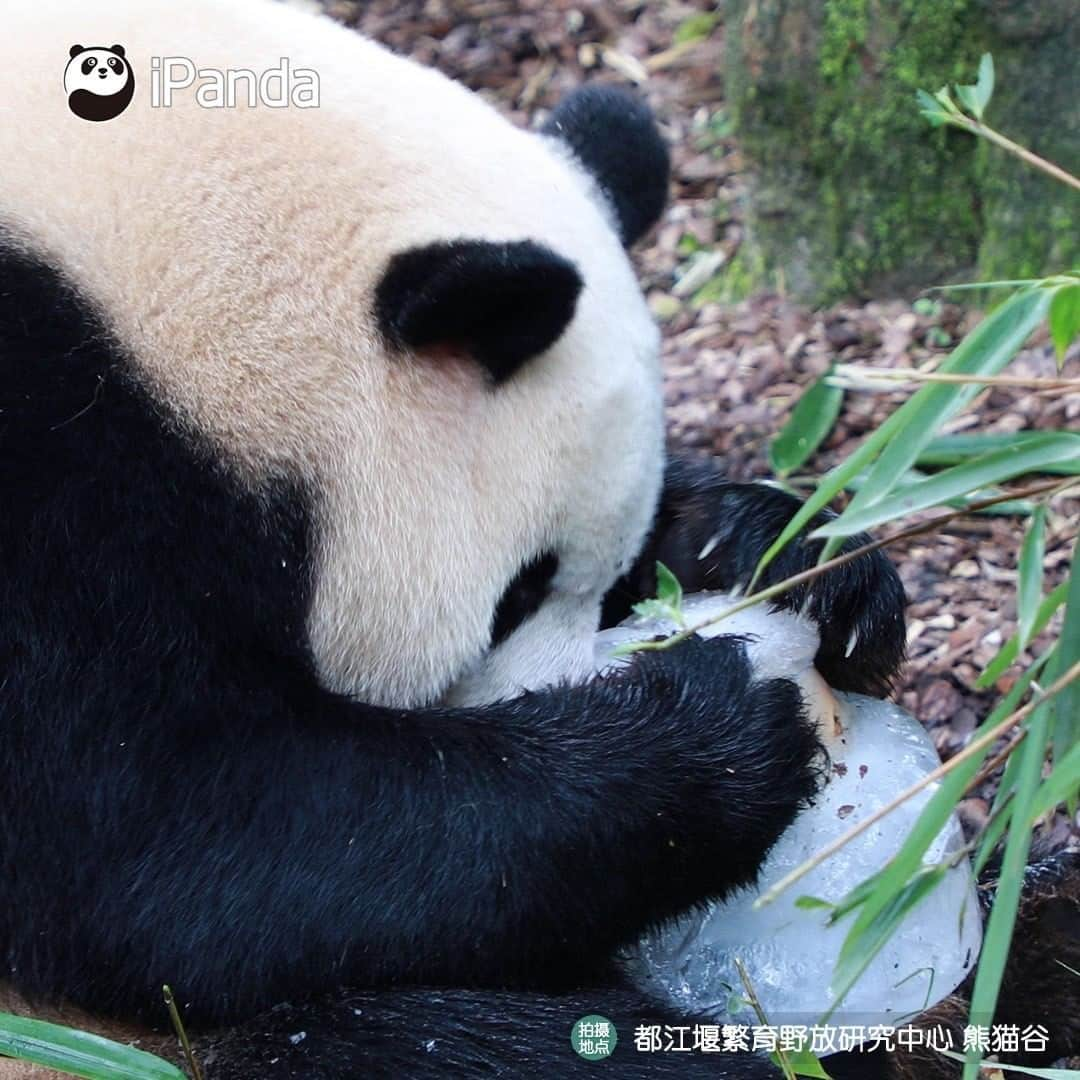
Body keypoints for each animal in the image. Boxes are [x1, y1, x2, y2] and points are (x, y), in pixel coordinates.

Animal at [2, 2, 1071, 1080]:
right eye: (518, 591)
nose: (570, 684)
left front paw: (797, 564)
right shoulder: (54, 485)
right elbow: (183, 847)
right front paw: (711, 727)